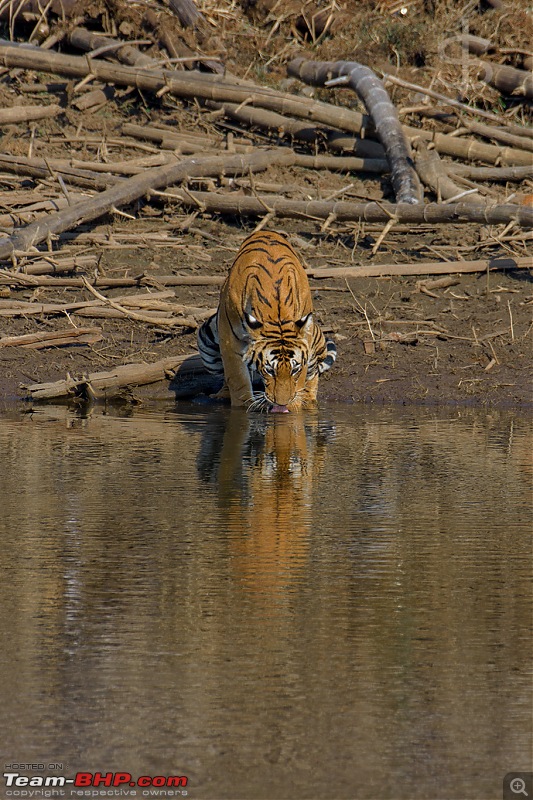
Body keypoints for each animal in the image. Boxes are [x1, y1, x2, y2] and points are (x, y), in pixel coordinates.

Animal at [197, 227, 334, 410]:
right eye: (269, 370)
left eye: (294, 370)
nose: (282, 403)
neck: (276, 314)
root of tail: (266, 230)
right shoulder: (230, 342)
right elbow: (238, 381)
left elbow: (300, 382)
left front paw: (295, 407)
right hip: (206, 344)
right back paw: (221, 395)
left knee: (314, 375)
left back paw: (309, 399)